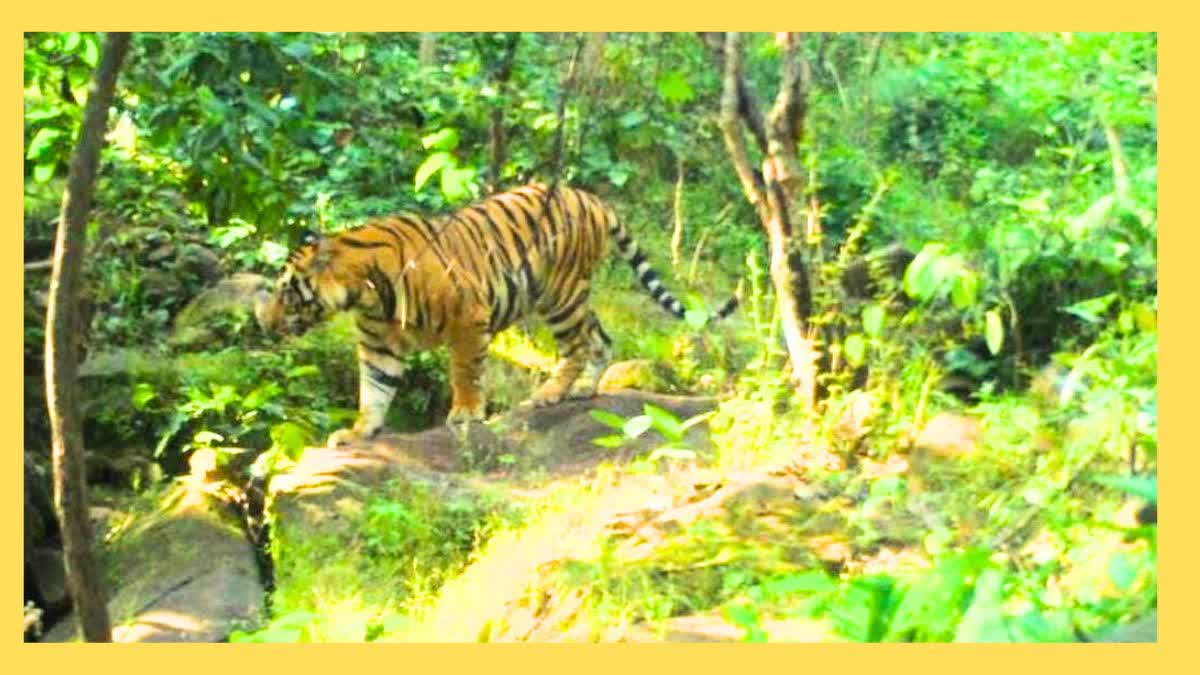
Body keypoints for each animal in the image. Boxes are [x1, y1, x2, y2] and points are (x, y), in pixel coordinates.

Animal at [256, 183, 739, 448]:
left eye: (287, 292)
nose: (264, 323)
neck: (366, 293)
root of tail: (589, 197)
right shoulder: (378, 346)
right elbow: (373, 393)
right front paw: (358, 434)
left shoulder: (468, 320)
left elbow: (465, 372)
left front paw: (466, 414)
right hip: (569, 295)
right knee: (599, 337)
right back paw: (584, 389)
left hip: (559, 294)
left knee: (577, 345)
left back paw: (550, 393)